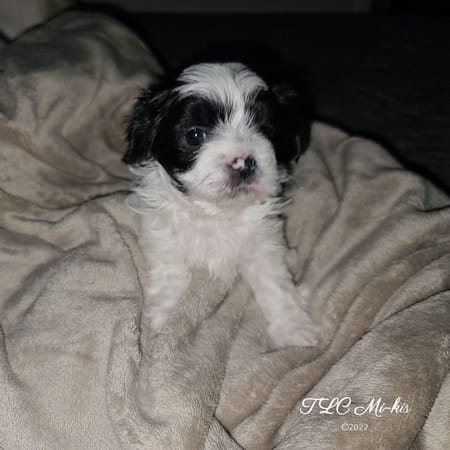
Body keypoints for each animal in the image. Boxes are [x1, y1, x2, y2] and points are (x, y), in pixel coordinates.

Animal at [123, 62, 319, 347]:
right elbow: (172, 272)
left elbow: (275, 282)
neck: (216, 212)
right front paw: (164, 316)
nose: (243, 162)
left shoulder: (262, 243)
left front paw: (293, 326)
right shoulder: (164, 236)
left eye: (267, 132)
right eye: (195, 135)